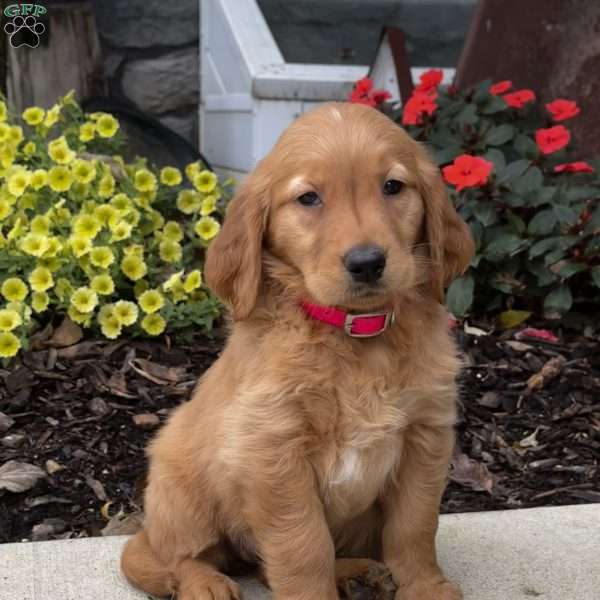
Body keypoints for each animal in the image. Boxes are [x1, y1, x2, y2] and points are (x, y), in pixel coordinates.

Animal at [122, 101, 476, 596]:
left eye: (392, 187)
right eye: (308, 198)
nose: (367, 263)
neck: (355, 335)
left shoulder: (425, 436)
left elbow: (415, 526)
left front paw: (425, 587)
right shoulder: (274, 450)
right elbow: (304, 546)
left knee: (263, 566)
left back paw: (358, 571)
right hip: (178, 489)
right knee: (176, 557)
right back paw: (205, 584)